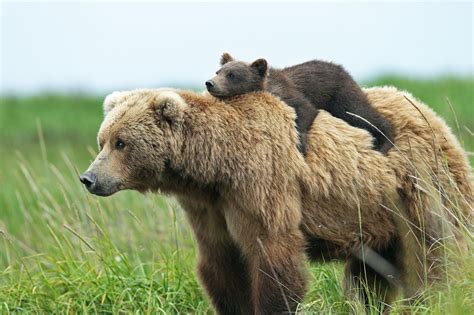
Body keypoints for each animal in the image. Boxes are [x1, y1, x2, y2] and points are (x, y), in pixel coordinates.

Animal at [81, 87, 470, 314]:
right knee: (370, 276)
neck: (216, 167)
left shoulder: (262, 183)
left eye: (121, 142)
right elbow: (221, 263)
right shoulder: (210, 207)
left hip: (419, 186)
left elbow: (273, 255)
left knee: (432, 254)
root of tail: (433, 115)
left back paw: (434, 300)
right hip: (376, 215)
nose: (89, 178)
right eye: (103, 139)